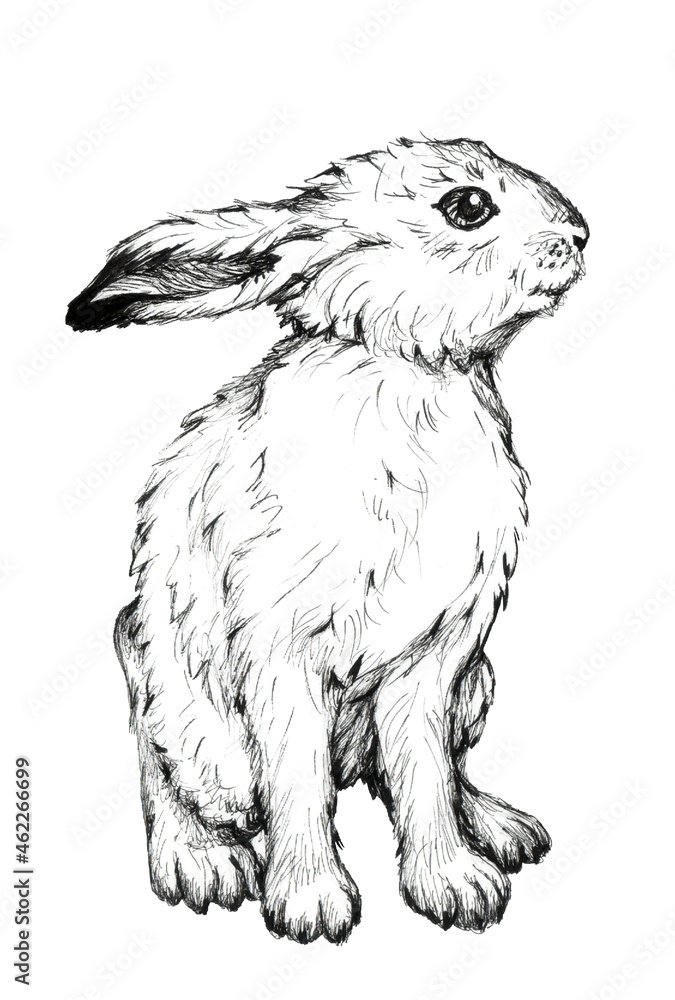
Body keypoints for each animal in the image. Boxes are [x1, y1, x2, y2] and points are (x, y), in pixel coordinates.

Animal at [67, 137, 588, 944]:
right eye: (467, 206)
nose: (580, 235)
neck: (410, 369)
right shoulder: (282, 651)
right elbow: (298, 778)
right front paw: (312, 908)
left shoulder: (431, 658)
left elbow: (422, 772)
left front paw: (455, 888)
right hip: (185, 714)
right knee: (171, 762)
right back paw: (199, 865)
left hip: (476, 682)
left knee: (424, 770)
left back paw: (502, 829)